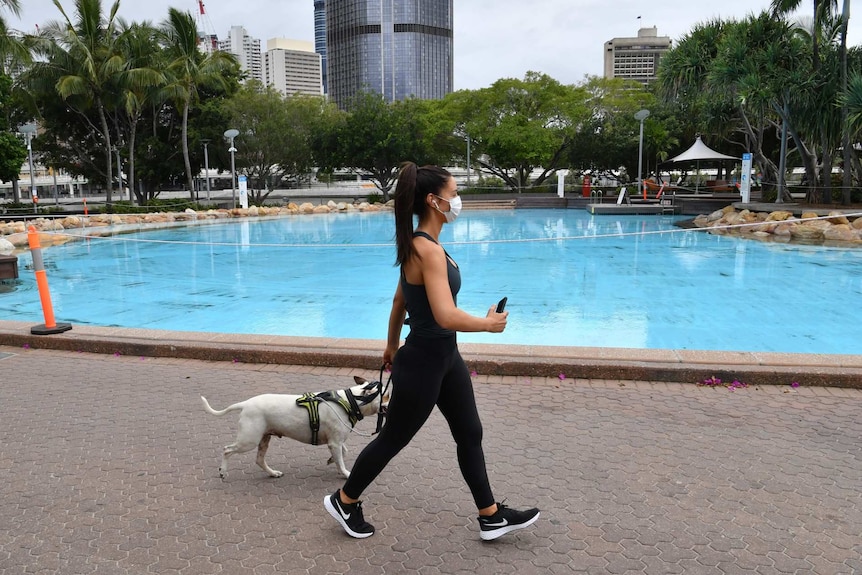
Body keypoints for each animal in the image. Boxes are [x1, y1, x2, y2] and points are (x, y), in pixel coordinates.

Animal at [201, 378, 386, 482]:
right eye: (386, 395)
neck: (349, 401)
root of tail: (245, 404)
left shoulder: (336, 441)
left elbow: (343, 453)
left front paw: (331, 460)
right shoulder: (335, 442)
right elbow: (341, 461)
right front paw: (346, 473)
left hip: (263, 438)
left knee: (259, 460)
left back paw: (273, 473)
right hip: (249, 440)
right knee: (227, 450)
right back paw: (223, 472)